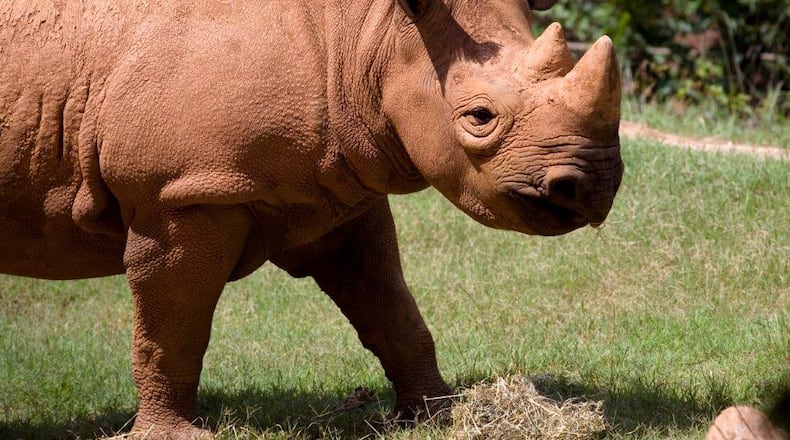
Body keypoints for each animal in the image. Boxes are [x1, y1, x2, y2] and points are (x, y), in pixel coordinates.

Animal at [0, 0, 623, 437]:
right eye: (479, 118)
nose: (594, 187)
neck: (366, 35)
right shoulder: (179, 191)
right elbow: (172, 325)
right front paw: (173, 434)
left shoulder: (334, 190)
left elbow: (387, 304)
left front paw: (435, 414)